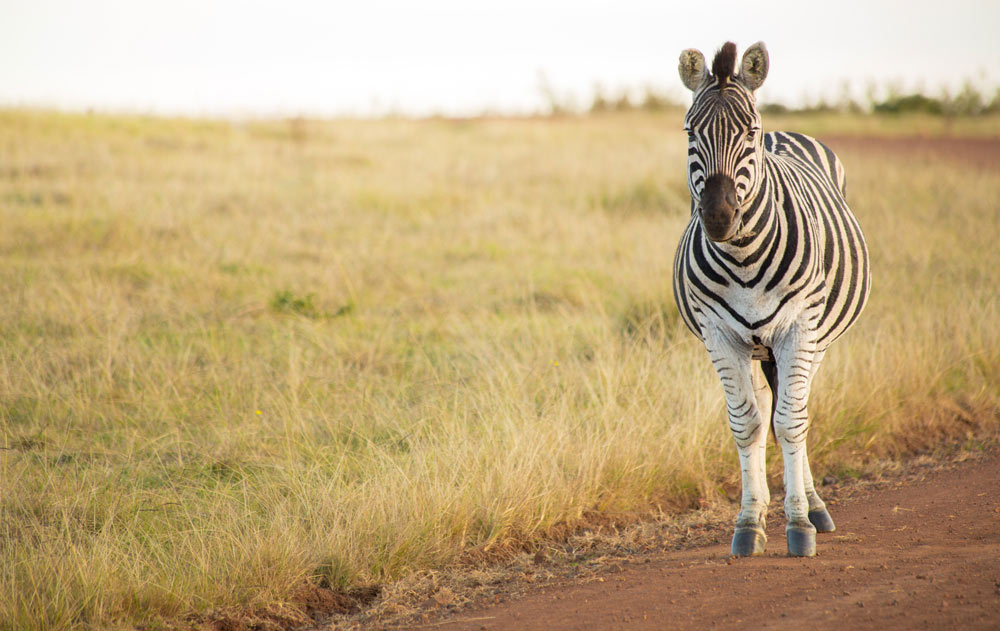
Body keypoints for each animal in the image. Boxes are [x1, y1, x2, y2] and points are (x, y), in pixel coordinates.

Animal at [672, 41, 870, 557]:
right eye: (690, 131)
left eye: (749, 132)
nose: (718, 217)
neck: (742, 257)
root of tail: (785, 132)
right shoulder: (719, 335)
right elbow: (747, 425)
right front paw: (748, 523)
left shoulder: (799, 329)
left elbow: (790, 423)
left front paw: (798, 524)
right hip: (756, 347)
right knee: (767, 410)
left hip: (814, 340)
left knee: (795, 410)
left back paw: (815, 508)